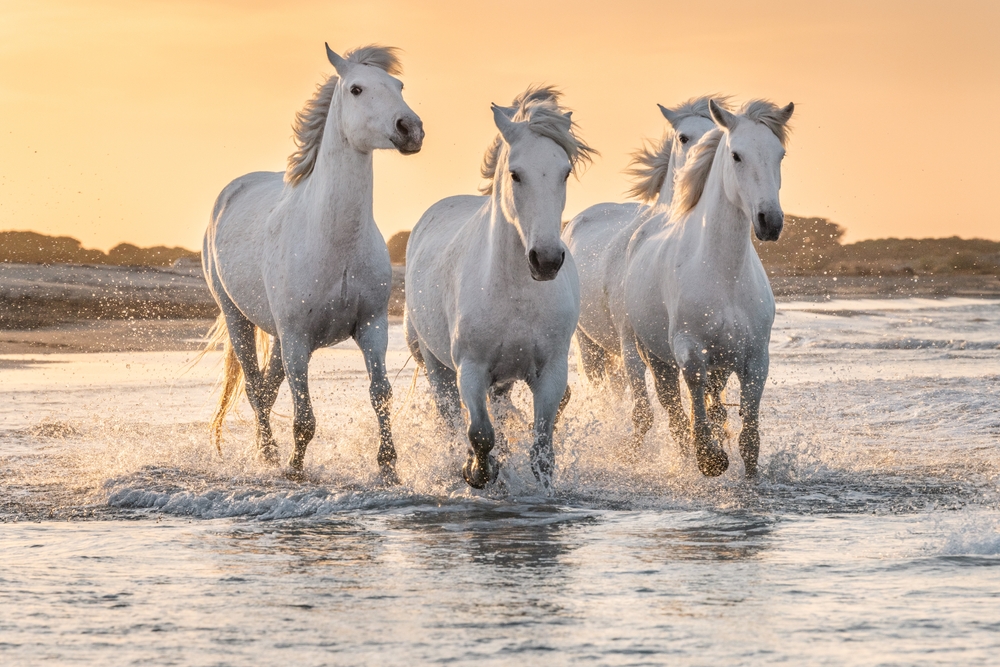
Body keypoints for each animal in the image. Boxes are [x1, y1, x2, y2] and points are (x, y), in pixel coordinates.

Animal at [203, 43, 422, 480]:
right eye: (356, 89)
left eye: (399, 86)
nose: (410, 129)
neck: (333, 240)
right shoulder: (297, 338)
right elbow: (304, 416)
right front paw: (294, 471)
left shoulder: (372, 328)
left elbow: (381, 395)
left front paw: (389, 469)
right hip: (239, 320)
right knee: (254, 387)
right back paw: (269, 456)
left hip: (278, 338)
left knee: (266, 390)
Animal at [404, 86, 592, 488]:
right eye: (515, 174)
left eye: (565, 172)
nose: (546, 260)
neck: (516, 293)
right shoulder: (471, 370)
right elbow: (479, 433)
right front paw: (477, 472)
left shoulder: (550, 372)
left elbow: (541, 446)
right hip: (437, 367)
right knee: (450, 418)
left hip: (502, 379)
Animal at [624, 99, 796, 478]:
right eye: (736, 155)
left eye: (780, 154)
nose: (770, 222)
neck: (724, 274)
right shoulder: (688, 348)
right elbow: (694, 397)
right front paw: (710, 458)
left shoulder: (755, 357)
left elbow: (749, 436)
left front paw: (748, 474)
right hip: (653, 357)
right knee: (674, 412)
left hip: (720, 364)